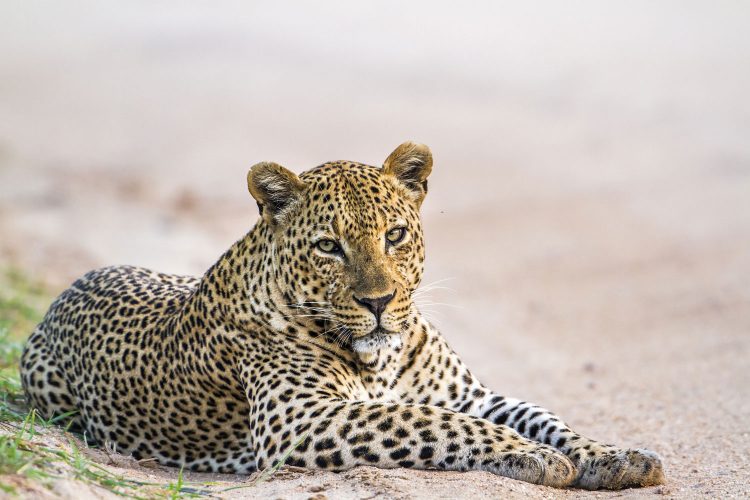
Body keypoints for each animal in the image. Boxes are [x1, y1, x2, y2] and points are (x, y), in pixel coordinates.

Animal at [17, 141, 668, 488]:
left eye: (395, 235)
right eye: (329, 246)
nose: (377, 302)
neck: (381, 360)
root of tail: (70, 286)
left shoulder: (468, 394)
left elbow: (544, 416)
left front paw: (615, 456)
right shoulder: (301, 418)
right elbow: (429, 423)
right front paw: (534, 456)